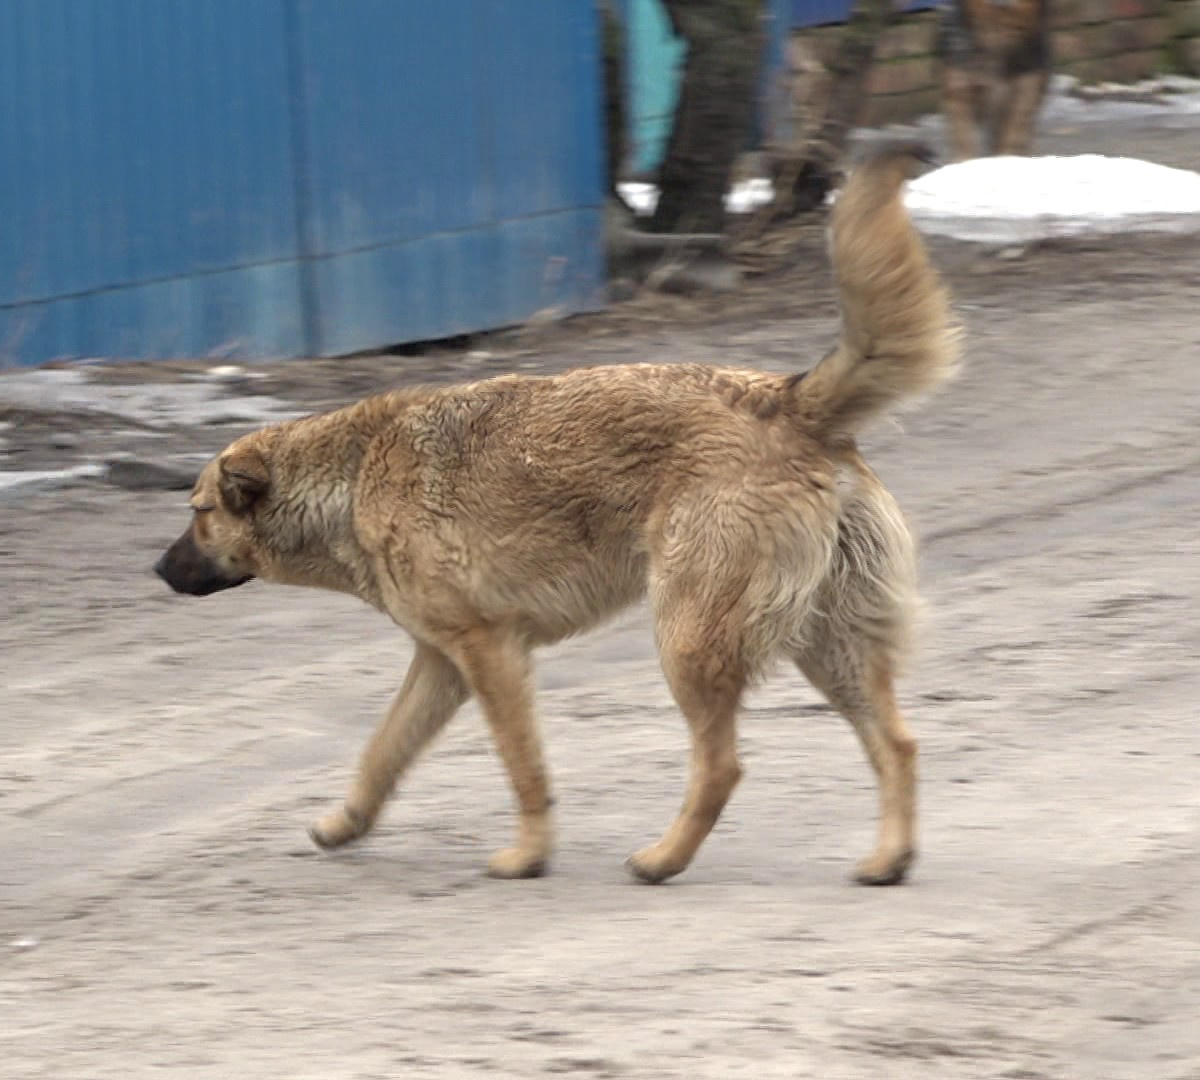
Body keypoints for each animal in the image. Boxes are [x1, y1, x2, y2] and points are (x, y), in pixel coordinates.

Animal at [157, 145, 964, 888]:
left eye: (198, 512)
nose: (157, 569)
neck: (351, 477)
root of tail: (790, 400)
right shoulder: (440, 664)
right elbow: (380, 754)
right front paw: (345, 823)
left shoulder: (491, 656)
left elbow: (523, 769)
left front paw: (528, 855)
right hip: (826, 645)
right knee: (898, 745)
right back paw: (888, 859)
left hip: (690, 644)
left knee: (723, 766)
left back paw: (664, 860)